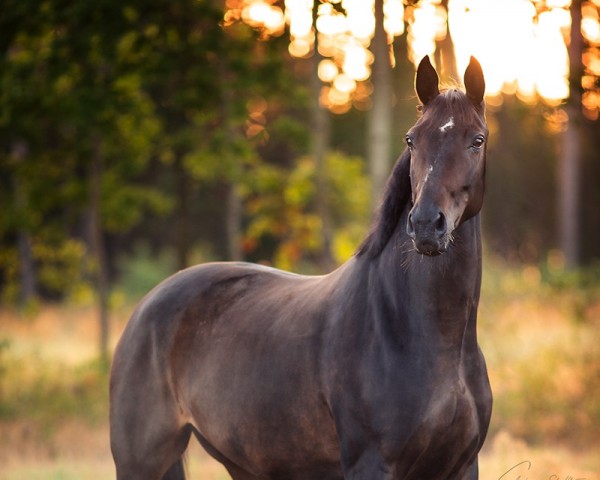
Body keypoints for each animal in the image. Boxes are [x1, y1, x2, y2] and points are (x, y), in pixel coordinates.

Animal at [109, 54, 492, 478]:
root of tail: (147, 306)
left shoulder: (462, 465)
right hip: (141, 461)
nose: (425, 224)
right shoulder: (370, 464)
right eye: (412, 139)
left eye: (477, 140)